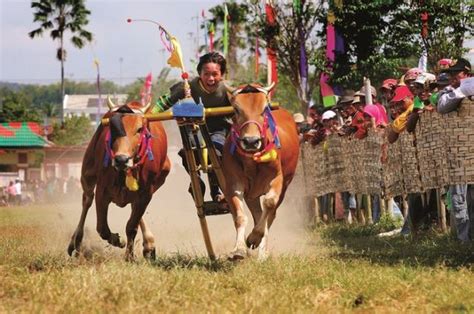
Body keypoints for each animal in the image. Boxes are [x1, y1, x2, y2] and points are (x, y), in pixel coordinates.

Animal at [65, 100, 170, 260]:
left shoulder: (146, 194)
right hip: (87, 174)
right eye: (112, 128)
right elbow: (102, 227)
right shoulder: (101, 191)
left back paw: (149, 244)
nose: (121, 159)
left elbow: (131, 226)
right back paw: (75, 241)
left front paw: (130, 256)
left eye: (139, 129)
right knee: (87, 200)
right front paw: (117, 240)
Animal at [223, 83, 298, 260]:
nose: (251, 141)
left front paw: (255, 238)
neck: (252, 160)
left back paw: (263, 252)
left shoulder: (277, 180)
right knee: (257, 213)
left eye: (264, 109)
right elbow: (240, 217)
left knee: (270, 214)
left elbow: (269, 205)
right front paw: (239, 249)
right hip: (252, 194)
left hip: (285, 185)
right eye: (236, 109)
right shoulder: (234, 184)